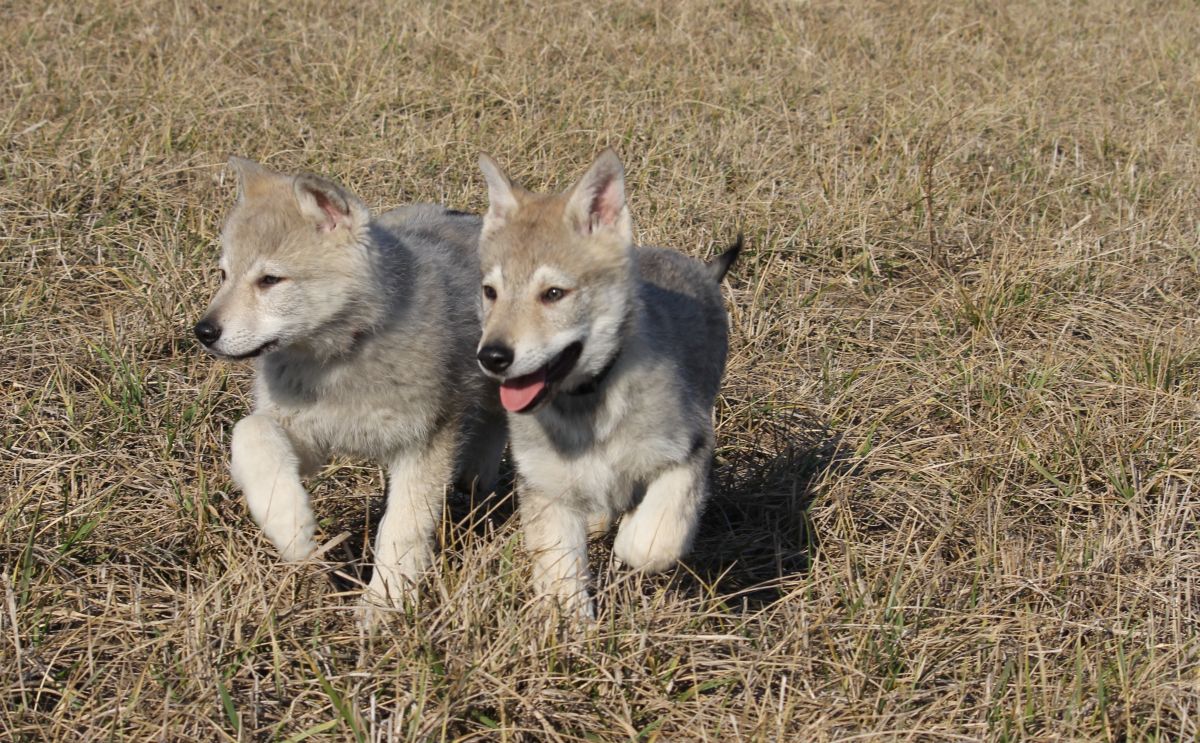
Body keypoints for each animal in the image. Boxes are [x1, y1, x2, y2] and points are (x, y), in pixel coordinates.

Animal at [194, 157, 504, 614]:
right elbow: (250, 434)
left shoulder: (427, 440)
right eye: (223, 274)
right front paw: (288, 524)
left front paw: (385, 605)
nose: (203, 331)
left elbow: (402, 528)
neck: (342, 357)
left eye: (269, 280)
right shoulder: (308, 436)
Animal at [472, 148, 734, 619]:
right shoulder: (546, 488)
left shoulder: (689, 450)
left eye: (553, 294)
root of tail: (698, 268)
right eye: (490, 292)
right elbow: (561, 584)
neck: (589, 401)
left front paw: (632, 535)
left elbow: (654, 540)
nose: (493, 357)